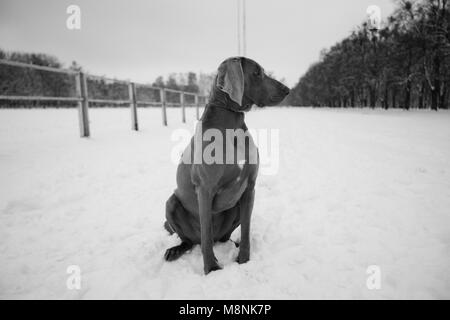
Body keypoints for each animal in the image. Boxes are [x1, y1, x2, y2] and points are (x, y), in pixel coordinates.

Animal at [163, 57, 290, 272]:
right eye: (257, 73)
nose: (288, 89)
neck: (231, 125)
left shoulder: (250, 188)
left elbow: (246, 230)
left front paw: (244, 260)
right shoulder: (205, 189)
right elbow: (206, 234)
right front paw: (212, 269)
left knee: (224, 237)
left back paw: (232, 244)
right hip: (171, 202)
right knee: (194, 240)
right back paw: (175, 250)